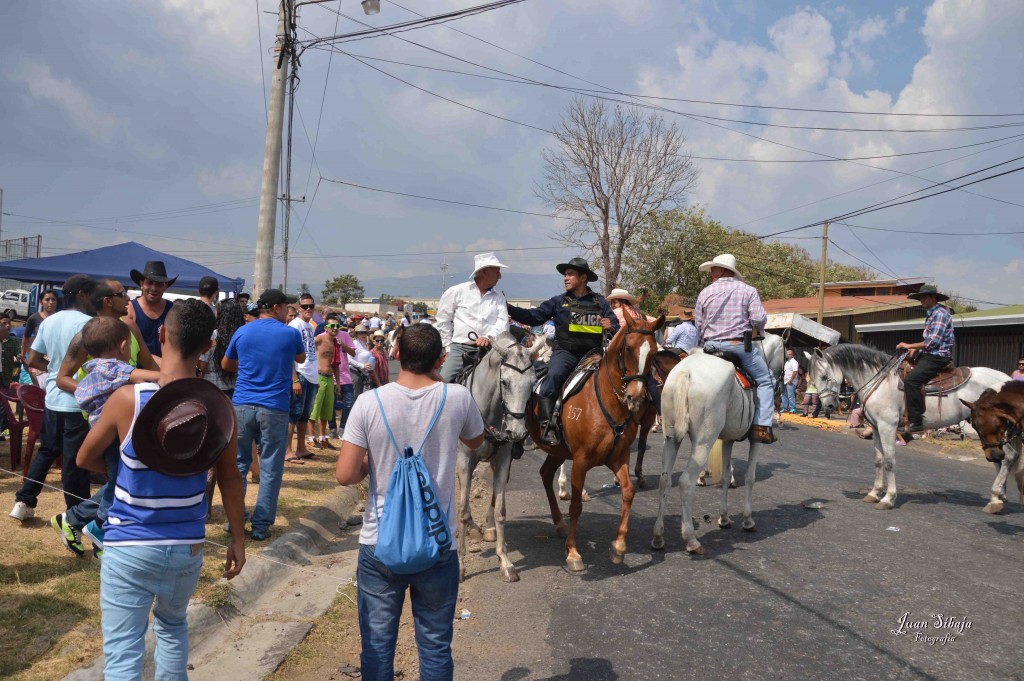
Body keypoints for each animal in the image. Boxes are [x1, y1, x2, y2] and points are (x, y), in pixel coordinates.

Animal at [454, 331, 536, 581]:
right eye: (505, 382)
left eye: (532, 384)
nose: (517, 432)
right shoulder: (464, 461)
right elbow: (462, 511)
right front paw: (460, 565)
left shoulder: (502, 461)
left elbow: (501, 510)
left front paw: (505, 561)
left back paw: (486, 528)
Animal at [528, 311, 663, 569]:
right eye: (628, 348)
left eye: (653, 352)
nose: (636, 398)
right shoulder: (580, 461)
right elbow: (576, 505)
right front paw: (572, 552)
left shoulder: (618, 457)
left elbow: (628, 491)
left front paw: (619, 547)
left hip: (558, 450)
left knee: (545, 474)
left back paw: (559, 523)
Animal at [651, 331, 778, 557]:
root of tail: (687, 371)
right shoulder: (756, 440)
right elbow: (750, 477)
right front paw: (747, 520)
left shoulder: (727, 439)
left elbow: (726, 476)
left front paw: (724, 518)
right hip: (703, 442)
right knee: (686, 482)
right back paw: (691, 540)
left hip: (671, 439)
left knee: (665, 480)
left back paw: (658, 537)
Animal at [806, 346, 1015, 509]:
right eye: (814, 380)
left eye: (824, 376)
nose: (829, 406)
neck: (880, 382)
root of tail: (1007, 380)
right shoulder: (876, 428)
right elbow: (879, 460)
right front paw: (874, 493)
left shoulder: (888, 427)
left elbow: (889, 461)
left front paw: (888, 498)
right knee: (998, 457)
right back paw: (998, 497)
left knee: (1008, 456)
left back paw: (996, 498)